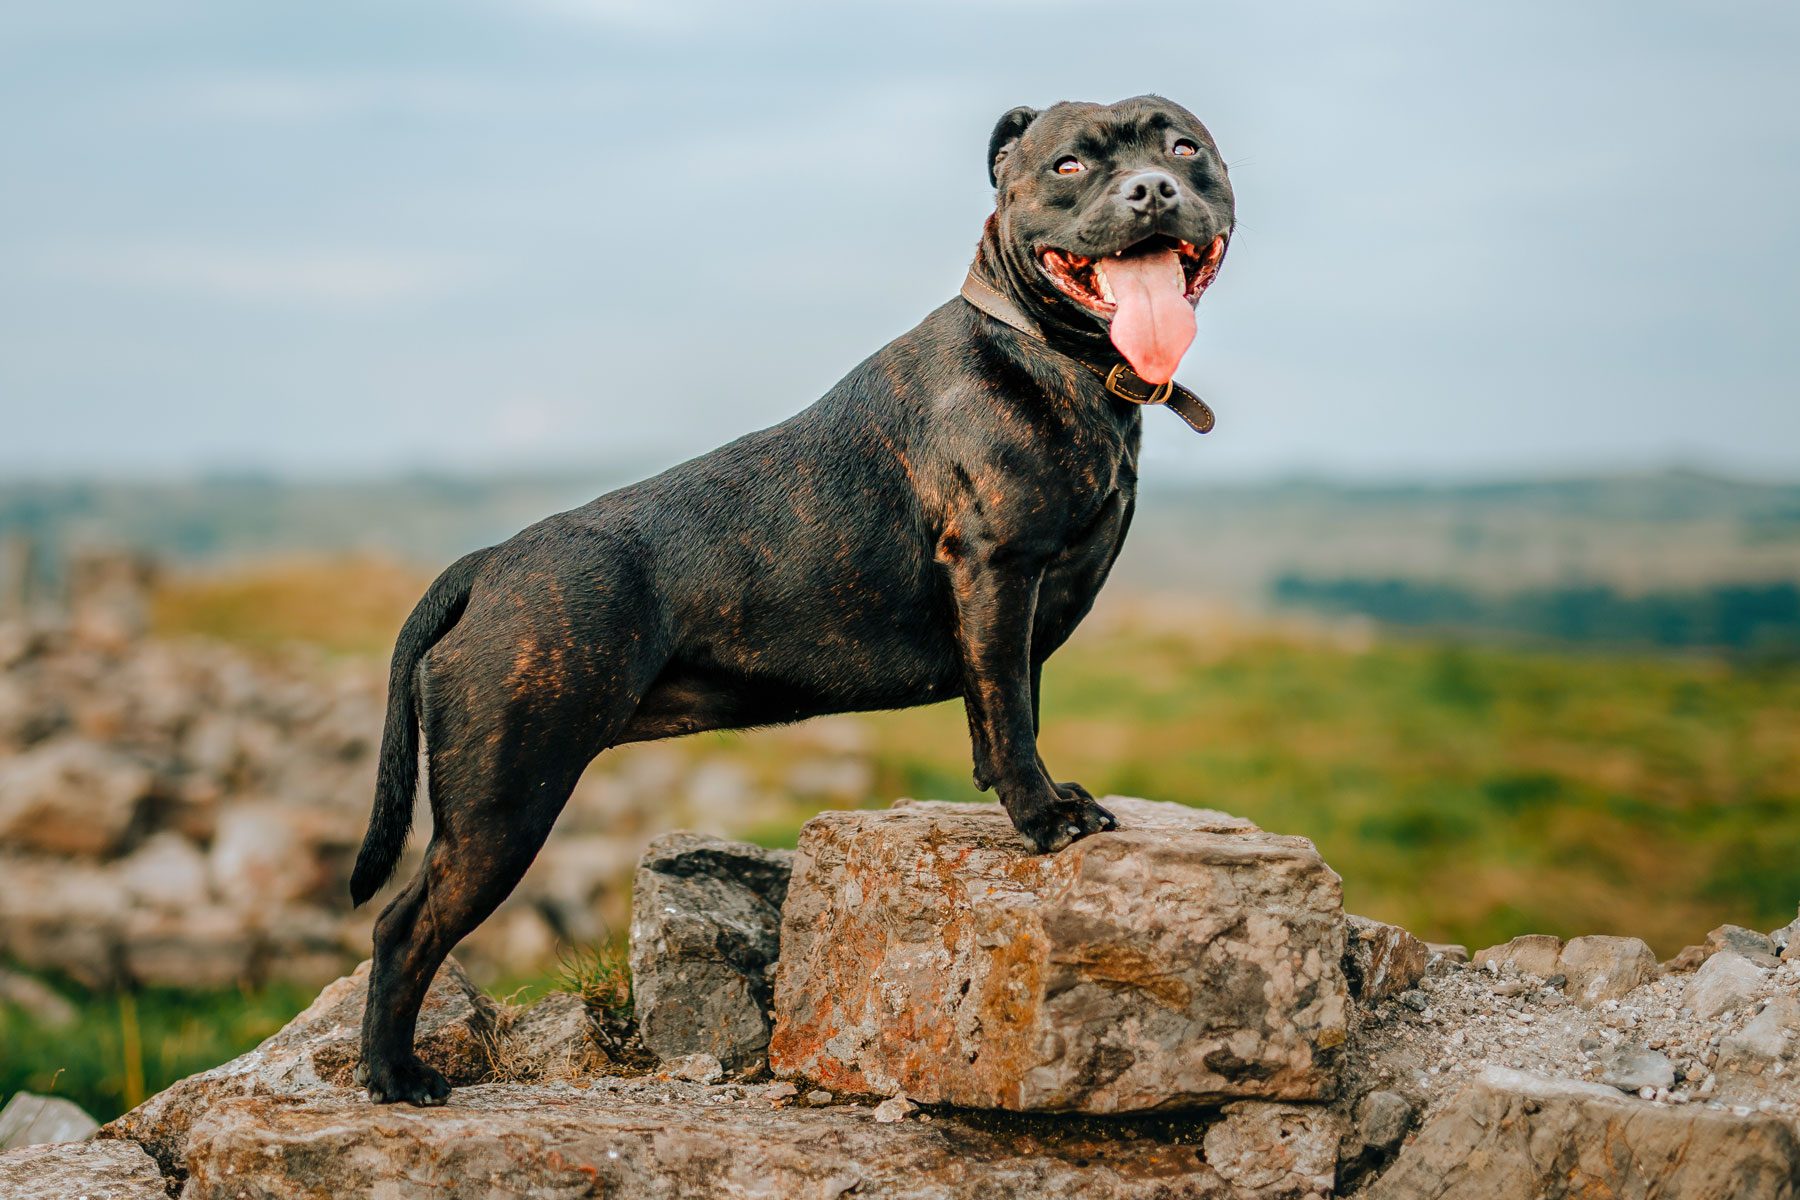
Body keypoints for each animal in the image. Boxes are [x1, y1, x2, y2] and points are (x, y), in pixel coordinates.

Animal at [343, 96, 1231, 1108]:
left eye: (1184, 148)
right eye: (1071, 164)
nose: (1151, 190)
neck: (1050, 352)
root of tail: (488, 565)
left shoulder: (1011, 608)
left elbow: (1003, 705)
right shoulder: (999, 570)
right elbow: (1010, 711)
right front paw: (1044, 817)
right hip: (503, 805)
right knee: (404, 928)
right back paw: (394, 1074)